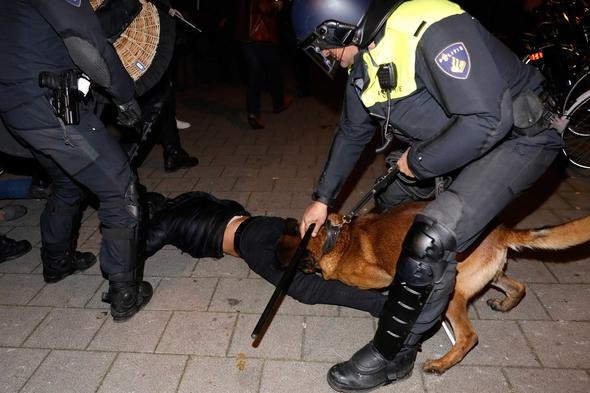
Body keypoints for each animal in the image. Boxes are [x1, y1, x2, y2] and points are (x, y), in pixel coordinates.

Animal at [278, 202, 590, 374]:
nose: (274, 262)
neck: (336, 238)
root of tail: (501, 231)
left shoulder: (381, 278)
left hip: (452, 293)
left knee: (469, 337)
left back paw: (441, 364)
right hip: (492, 276)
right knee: (519, 287)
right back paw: (504, 304)